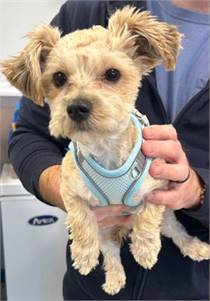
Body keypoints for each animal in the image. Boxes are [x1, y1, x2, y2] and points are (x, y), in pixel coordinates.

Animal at [2, 5, 210, 296]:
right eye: (58, 77)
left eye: (112, 74)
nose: (77, 107)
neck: (106, 150)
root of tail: (122, 228)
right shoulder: (70, 190)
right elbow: (80, 220)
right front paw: (83, 254)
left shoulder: (158, 185)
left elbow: (148, 217)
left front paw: (145, 249)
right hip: (105, 233)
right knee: (111, 255)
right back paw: (114, 279)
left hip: (169, 219)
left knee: (178, 233)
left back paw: (195, 247)